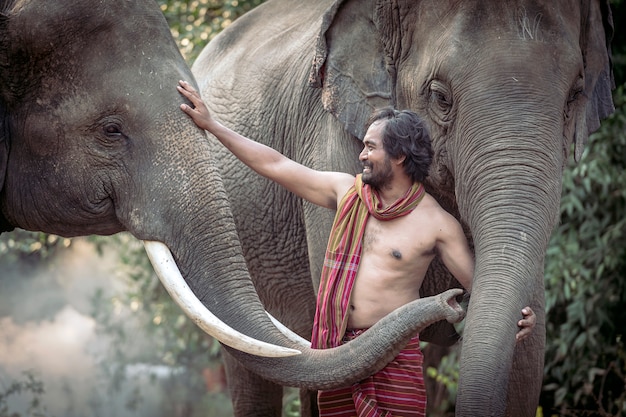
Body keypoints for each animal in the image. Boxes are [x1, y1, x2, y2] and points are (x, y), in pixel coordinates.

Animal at [191, 0, 616, 414]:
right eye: (441, 96)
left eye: (575, 95)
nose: (456, 302)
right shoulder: (328, 141)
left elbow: (527, 359)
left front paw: (524, 322)